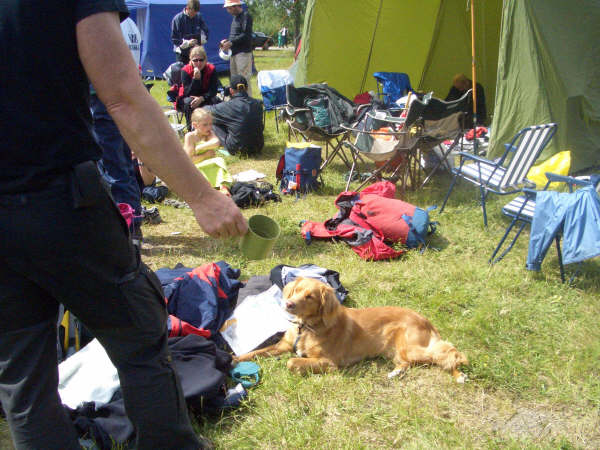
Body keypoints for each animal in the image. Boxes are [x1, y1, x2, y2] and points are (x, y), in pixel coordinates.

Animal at [236, 277, 468, 382]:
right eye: (296, 290)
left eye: (310, 297)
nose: (289, 304)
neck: (307, 328)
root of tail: (424, 319)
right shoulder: (283, 345)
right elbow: (255, 352)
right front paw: (233, 360)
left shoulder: (329, 361)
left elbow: (292, 362)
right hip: (397, 352)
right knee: (409, 363)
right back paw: (394, 373)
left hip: (412, 348)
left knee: (447, 353)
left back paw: (459, 374)